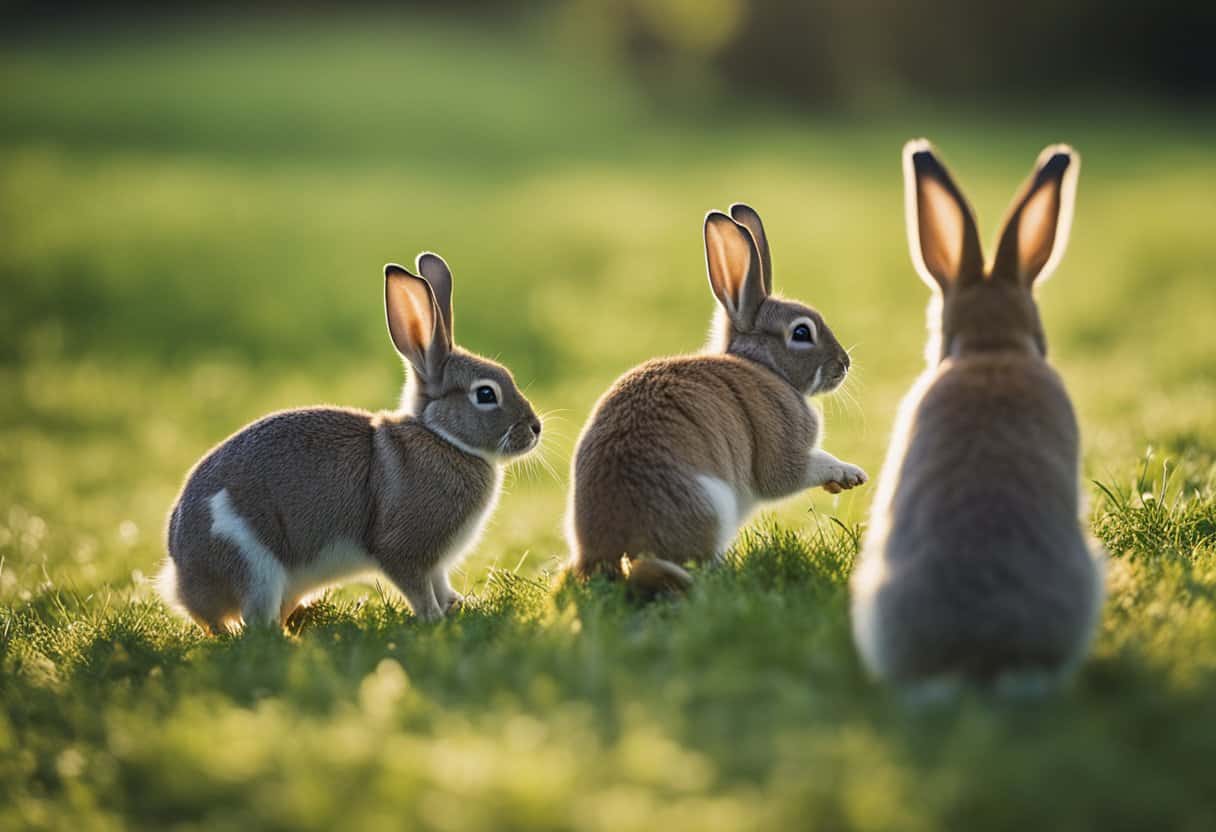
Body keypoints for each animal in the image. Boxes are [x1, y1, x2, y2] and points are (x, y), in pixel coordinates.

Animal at [158, 252, 541, 633]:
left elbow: (440, 584)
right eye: (486, 394)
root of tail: (181, 570)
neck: (441, 436)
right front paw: (433, 619)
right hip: (254, 566)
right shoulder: (404, 550)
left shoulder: (436, 564)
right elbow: (418, 588)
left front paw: (457, 606)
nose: (535, 429)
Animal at [567, 204, 867, 595]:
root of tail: (610, 545)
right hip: (711, 504)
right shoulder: (781, 453)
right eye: (802, 332)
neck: (765, 366)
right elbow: (792, 472)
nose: (843, 364)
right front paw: (848, 473)